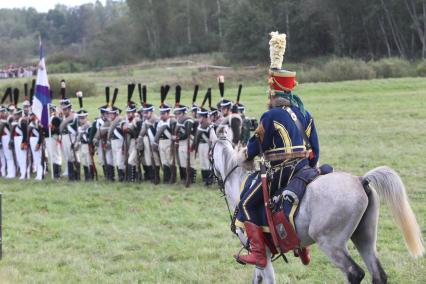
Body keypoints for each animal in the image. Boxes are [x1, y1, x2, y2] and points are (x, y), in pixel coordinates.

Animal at [211, 137, 424, 282]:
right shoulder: (265, 254)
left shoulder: (261, 253)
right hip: (364, 237)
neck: (240, 185)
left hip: (330, 243)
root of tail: (360, 180)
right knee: (378, 274)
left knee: (355, 273)